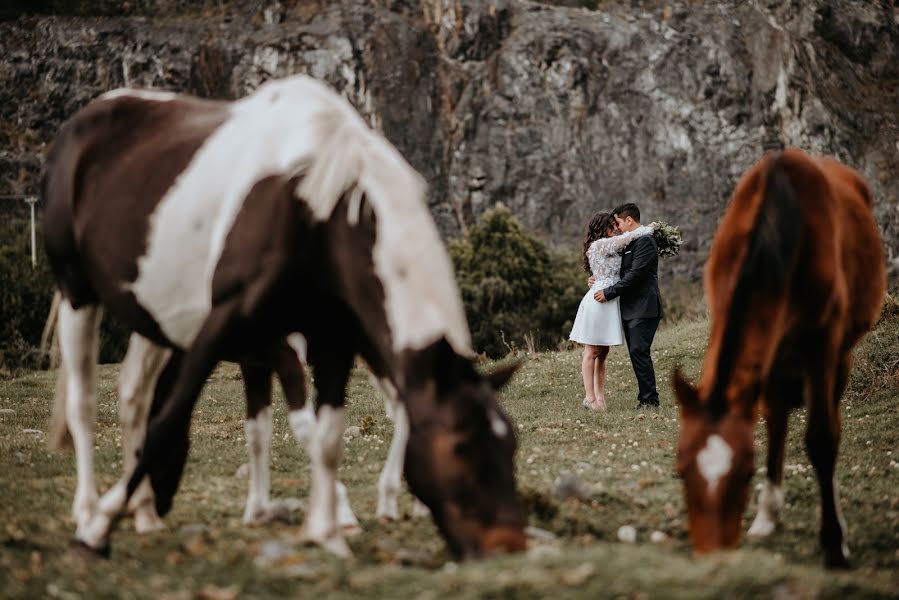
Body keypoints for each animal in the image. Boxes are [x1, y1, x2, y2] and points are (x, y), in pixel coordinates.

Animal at [44, 74, 528, 556]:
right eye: (462, 446)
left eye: (510, 444)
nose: (507, 543)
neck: (319, 207)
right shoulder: (241, 335)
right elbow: (175, 423)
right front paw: (99, 527)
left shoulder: (321, 343)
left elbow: (312, 435)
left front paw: (322, 528)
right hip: (77, 292)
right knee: (84, 404)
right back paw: (90, 510)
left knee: (133, 394)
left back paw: (142, 512)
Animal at [676, 146, 884, 568]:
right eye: (681, 471)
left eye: (745, 473)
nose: (712, 553)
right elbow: (774, 423)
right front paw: (769, 513)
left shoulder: (822, 344)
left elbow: (822, 438)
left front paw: (834, 543)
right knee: (776, 419)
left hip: (839, 355)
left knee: (831, 418)